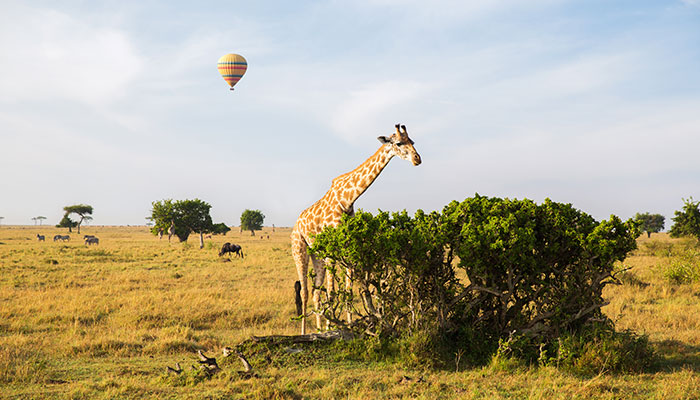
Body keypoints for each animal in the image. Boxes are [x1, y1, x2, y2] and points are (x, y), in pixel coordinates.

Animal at [290, 124, 422, 334]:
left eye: (412, 141)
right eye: (399, 143)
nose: (417, 159)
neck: (348, 199)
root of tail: (296, 224)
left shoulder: (348, 248)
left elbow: (348, 290)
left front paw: (348, 326)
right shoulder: (333, 250)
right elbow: (332, 292)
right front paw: (332, 329)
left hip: (317, 254)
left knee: (316, 293)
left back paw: (318, 330)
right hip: (299, 249)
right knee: (304, 292)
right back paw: (305, 333)